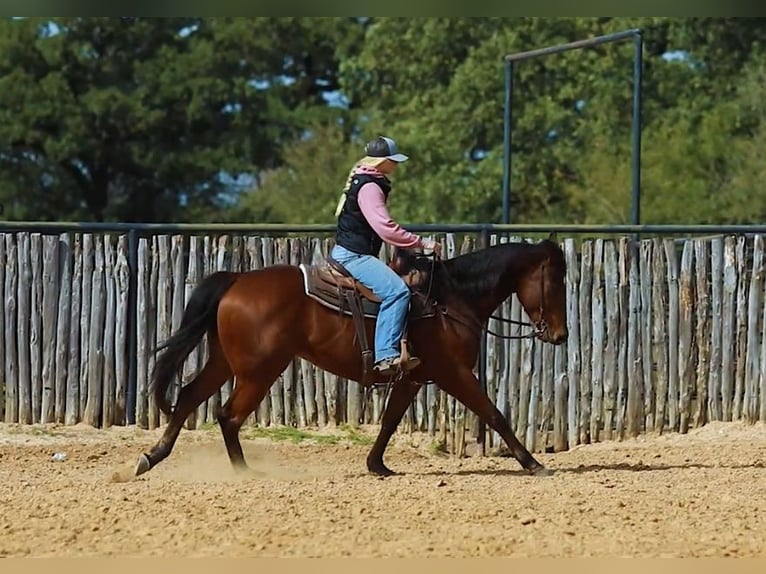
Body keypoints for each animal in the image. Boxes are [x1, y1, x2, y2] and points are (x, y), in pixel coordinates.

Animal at [129, 236, 568, 480]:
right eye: (555, 282)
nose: (560, 335)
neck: (450, 299)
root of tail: (236, 280)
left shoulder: (412, 378)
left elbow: (389, 420)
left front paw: (377, 465)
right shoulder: (454, 373)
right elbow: (494, 414)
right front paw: (532, 463)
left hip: (225, 363)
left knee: (189, 397)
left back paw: (151, 458)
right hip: (258, 371)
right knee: (228, 415)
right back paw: (243, 472)